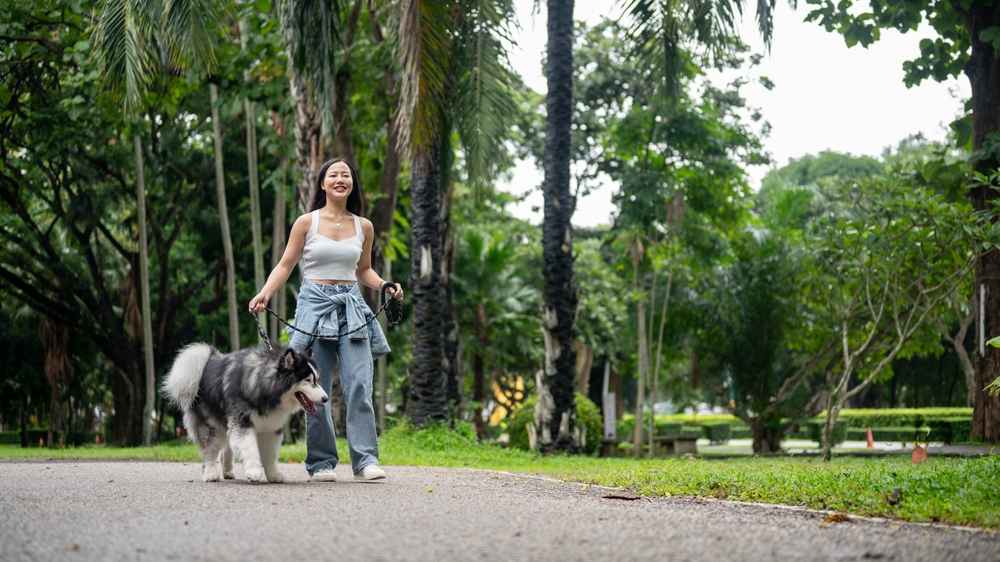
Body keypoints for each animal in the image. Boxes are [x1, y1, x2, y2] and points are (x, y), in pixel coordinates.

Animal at [163, 342, 328, 482]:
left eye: (317, 379)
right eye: (308, 380)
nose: (325, 399)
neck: (264, 387)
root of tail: (208, 361)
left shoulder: (271, 427)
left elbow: (270, 454)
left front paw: (273, 475)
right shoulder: (242, 423)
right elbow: (250, 448)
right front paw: (254, 471)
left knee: (227, 446)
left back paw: (227, 471)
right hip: (211, 425)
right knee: (210, 448)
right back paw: (211, 473)